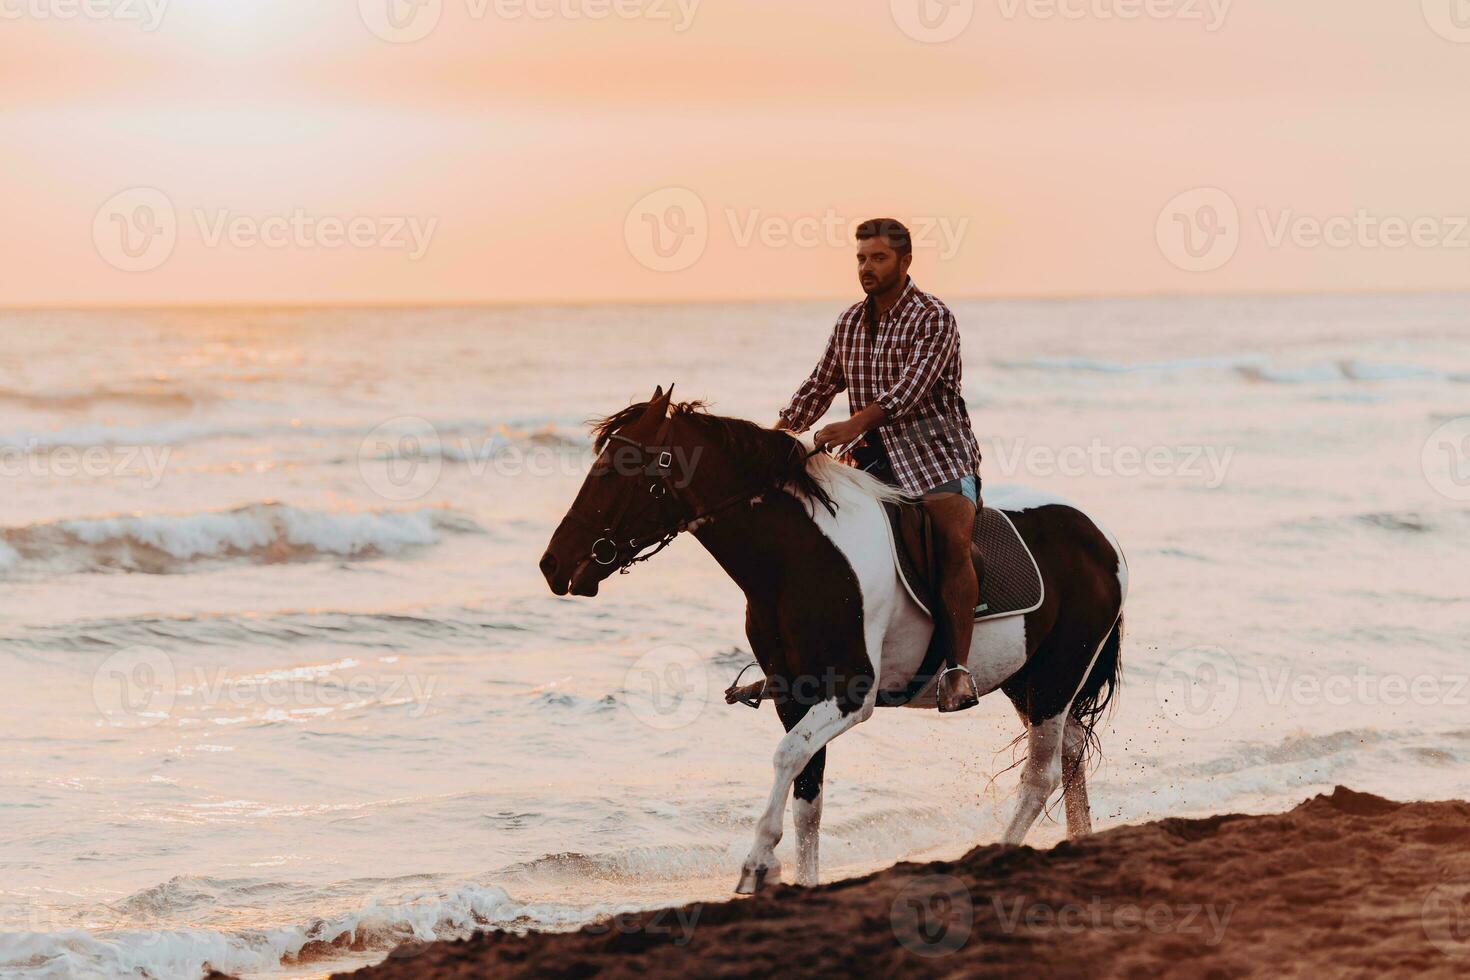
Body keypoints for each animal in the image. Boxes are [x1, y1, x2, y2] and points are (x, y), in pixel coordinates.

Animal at [540, 387, 1123, 893]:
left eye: (618, 468)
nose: (553, 564)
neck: (797, 560)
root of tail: (1101, 538)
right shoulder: (794, 695)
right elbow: (808, 794)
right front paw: (800, 881)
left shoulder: (848, 695)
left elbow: (786, 758)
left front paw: (758, 864)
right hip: (1029, 683)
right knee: (1070, 754)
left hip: (1055, 681)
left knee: (1040, 774)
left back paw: (998, 851)